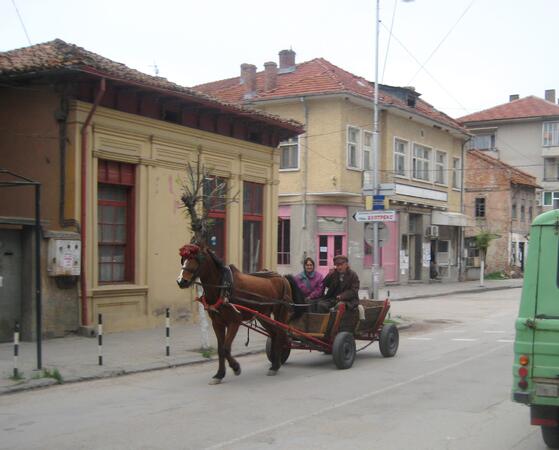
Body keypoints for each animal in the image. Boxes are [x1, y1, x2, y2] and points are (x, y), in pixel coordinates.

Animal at [177, 244, 296, 384]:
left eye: (196, 258)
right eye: (183, 259)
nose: (181, 281)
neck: (223, 286)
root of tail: (282, 277)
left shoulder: (234, 322)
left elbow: (226, 348)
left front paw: (236, 367)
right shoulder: (217, 323)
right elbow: (220, 349)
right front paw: (219, 375)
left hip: (280, 312)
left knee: (281, 333)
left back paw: (276, 364)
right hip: (263, 315)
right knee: (274, 334)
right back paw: (275, 363)